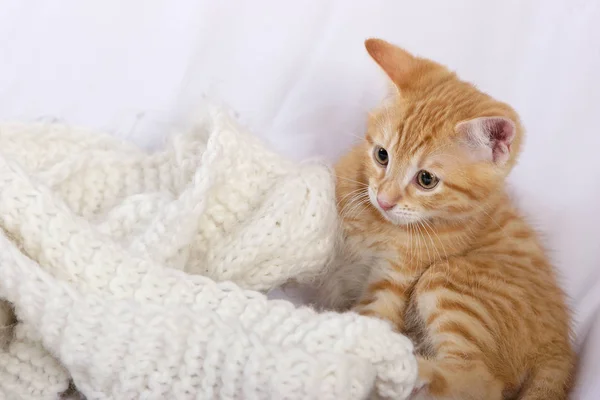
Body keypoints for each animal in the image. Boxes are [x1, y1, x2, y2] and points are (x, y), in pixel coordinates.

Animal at [322, 39, 576, 400]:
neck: (379, 224)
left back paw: (408, 370)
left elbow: (371, 324)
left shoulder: (394, 285)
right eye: (381, 155)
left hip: (448, 280)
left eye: (426, 180)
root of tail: (558, 346)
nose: (384, 199)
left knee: (479, 380)